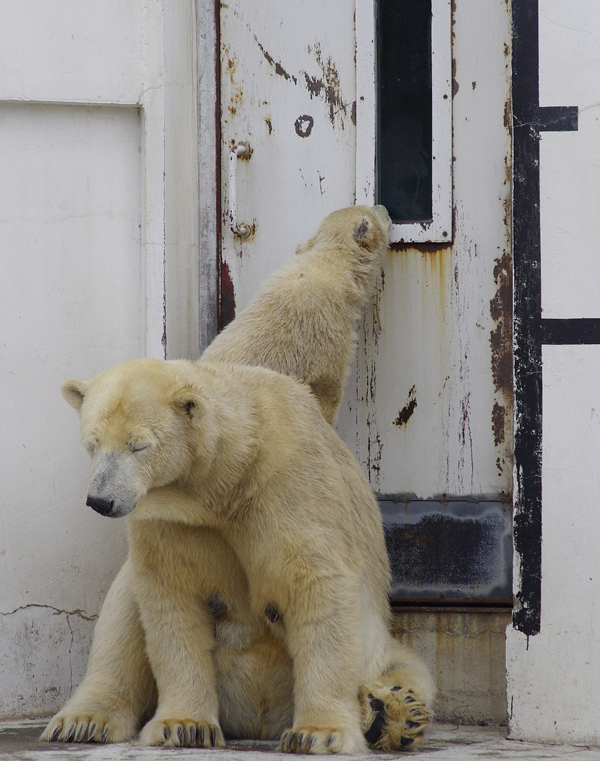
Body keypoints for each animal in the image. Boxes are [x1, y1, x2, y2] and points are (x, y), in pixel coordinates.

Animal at [43, 205, 436, 752]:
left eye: (138, 446)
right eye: (91, 444)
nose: (100, 501)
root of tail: (256, 717)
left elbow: (314, 586)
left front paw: (319, 732)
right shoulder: (175, 522)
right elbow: (173, 596)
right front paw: (186, 725)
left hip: (381, 644)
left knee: (404, 668)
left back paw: (394, 714)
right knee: (122, 624)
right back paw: (85, 718)